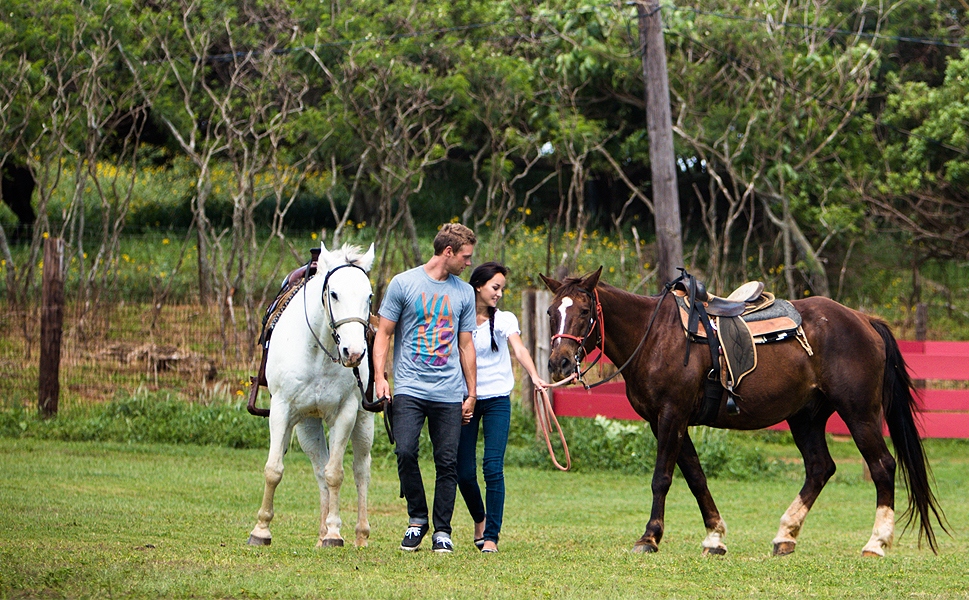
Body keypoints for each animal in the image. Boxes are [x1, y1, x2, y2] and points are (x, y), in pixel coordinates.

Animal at [248, 242, 377, 548]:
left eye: (368, 296)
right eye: (334, 293)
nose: (354, 353)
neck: (319, 351)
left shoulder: (345, 413)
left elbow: (335, 474)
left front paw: (334, 533)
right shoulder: (282, 410)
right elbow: (274, 470)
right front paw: (261, 530)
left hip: (364, 422)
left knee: (360, 470)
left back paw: (359, 534)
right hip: (308, 425)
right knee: (319, 468)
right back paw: (320, 533)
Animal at [541, 267, 947, 557]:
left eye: (584, 311)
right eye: (550, 312)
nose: (559, 362)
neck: (655, 336)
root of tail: (864, 321)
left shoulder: (671, 415)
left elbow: (662, 478)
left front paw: (650, 537)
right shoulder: (666, 422)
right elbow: (696, 477)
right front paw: (714, 536)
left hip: (859, 413)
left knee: (882, 466)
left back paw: (875, 543)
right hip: (806, 416)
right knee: (820, 468)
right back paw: (786, 535)